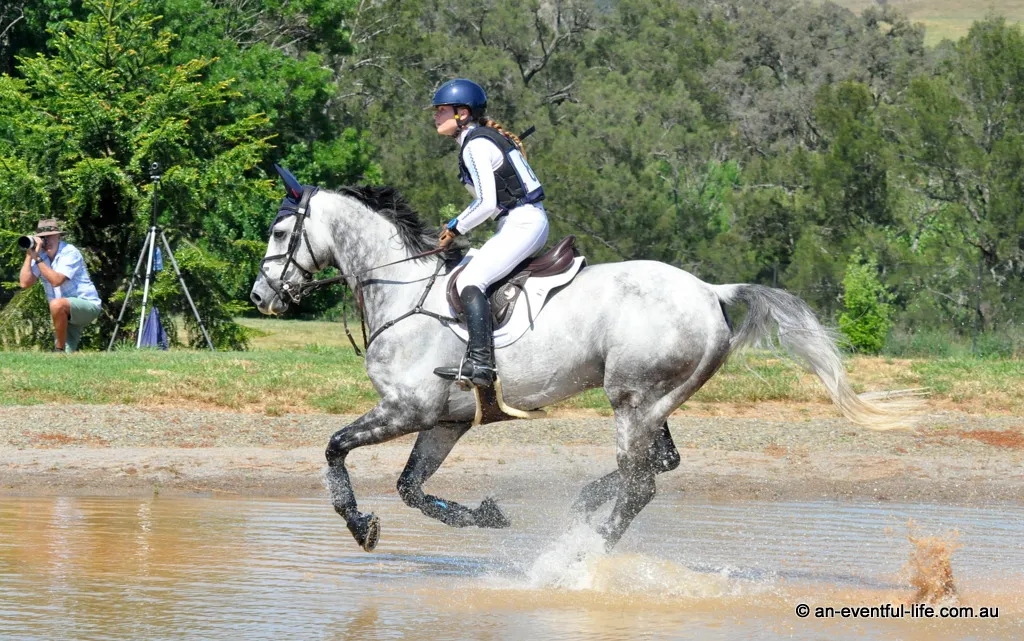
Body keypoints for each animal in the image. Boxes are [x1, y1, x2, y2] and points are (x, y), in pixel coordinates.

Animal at [250, 167, 912, 553]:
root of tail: (710, 291)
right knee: (655, 465)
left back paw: (586, 554)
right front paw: (485, 516)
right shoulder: (444, 421)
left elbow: (335, 449)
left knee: (642, 482)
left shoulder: (405, 409)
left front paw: (358, 525)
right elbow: (411, 488)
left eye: (280, 234)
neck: (404, 289)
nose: (260, 297)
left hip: (632, 398)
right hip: (654, 399)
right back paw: (586, 507)